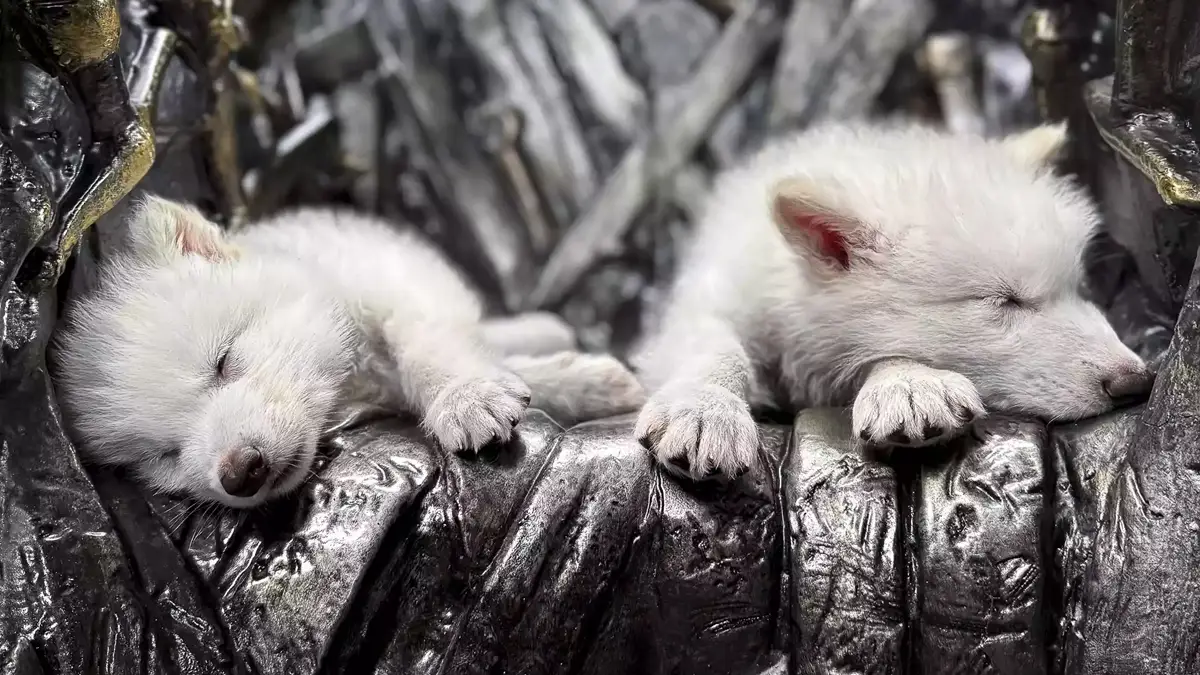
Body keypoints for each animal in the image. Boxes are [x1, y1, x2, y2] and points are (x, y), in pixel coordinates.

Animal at [52, 198, 644, 507]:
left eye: (223, 361)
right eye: (165, 455)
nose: (239, 473)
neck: (347, 383)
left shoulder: (399, 291)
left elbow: (430, 347)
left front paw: (466, 396)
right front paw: (583, 384)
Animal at [632, 121, 1154, 480]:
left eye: (1077, 289)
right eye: (1005, 301)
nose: (1137, 381)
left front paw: (908, 384)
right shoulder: (710, 298)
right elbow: (716, 347)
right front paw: (704, 409)